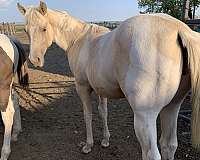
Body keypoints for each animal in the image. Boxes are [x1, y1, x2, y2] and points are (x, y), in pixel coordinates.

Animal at [16, 0, 200, 159]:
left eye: (44, 29)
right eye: (26, 30)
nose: (35, 60)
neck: (78, 39)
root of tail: (179, 29)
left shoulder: (82, 87)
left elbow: (88, 114)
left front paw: (88, 145)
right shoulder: (101, 89)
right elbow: (103, 112)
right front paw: (105, 140)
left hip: (145, 116)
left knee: (152, 153)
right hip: (172, 107)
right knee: (169, 145)